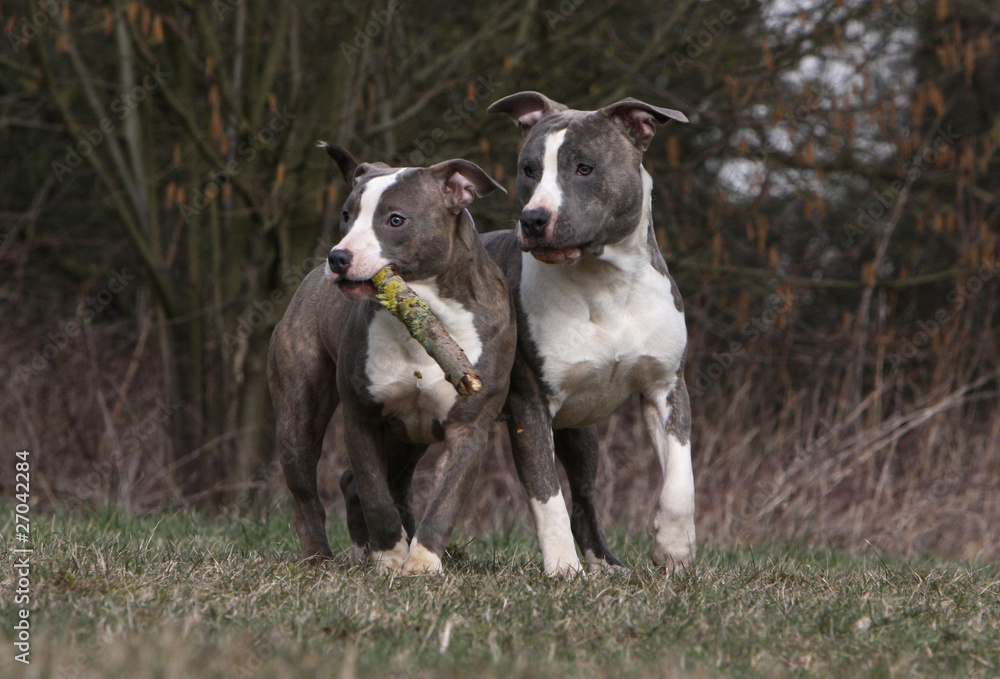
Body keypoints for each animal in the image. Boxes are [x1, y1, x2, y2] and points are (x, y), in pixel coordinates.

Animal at [268, 145, 516, 572]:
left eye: (396, 220)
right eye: (347, 215)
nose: (338, 257)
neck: (425, 314)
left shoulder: (470, 427)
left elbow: (445, 502)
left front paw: (421, 564)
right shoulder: (361, 417)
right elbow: (375, 496)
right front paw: (390, 556)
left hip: (407, 438)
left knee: (375, 484)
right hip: (299, 413)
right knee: (308, 492)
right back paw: (320, 558)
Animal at [486, 90, 696, 572]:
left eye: (585, 168)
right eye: (529, 169)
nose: (533, 219)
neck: (605, 283)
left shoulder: (666, 386)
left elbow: (680, 478)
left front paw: (674, 547)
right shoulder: (530, 405)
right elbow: (546, 497)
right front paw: (563, 568)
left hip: (580, 433)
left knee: (583, 498)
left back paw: (606, 564)